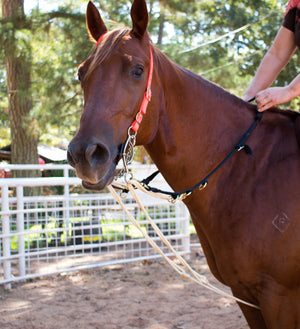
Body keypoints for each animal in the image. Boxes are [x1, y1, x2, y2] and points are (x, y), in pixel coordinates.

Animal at [68, 1, 300, 326]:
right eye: (81, 73)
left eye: (137, 70)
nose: (85, 154)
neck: (249, 171)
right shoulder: (247, 296)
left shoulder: (281, 299)